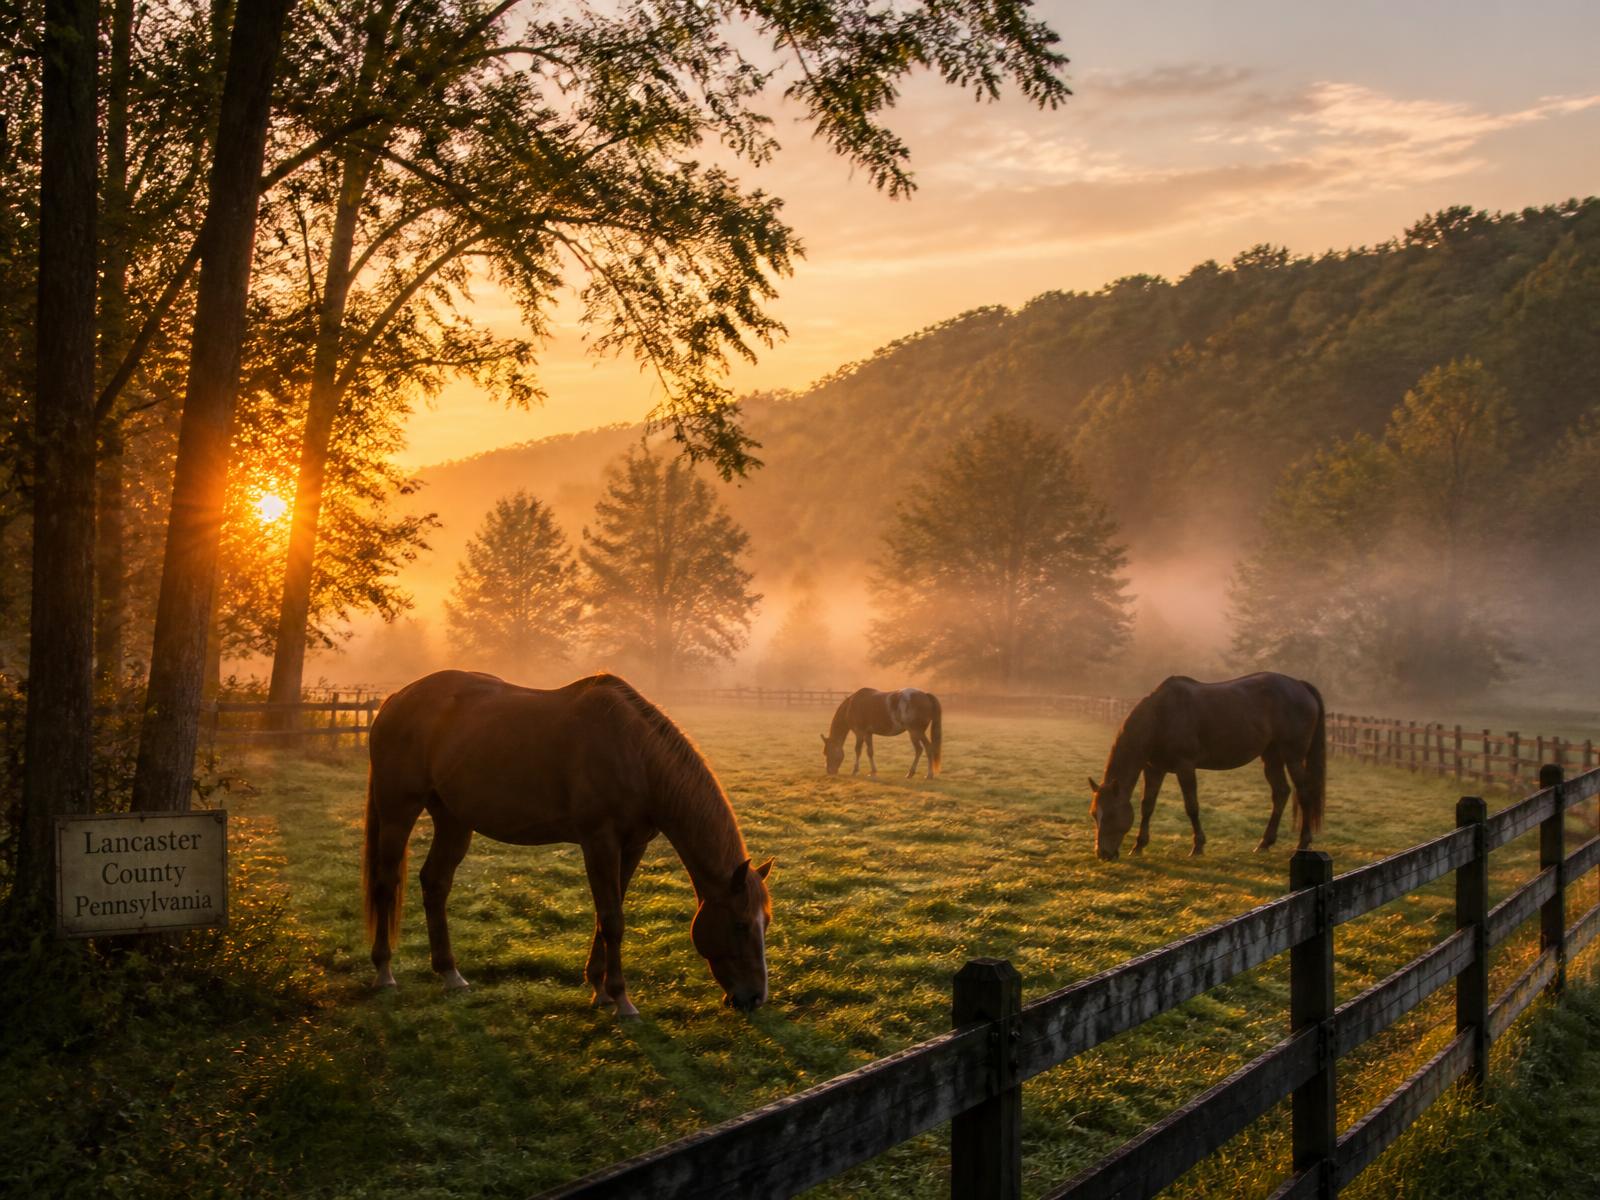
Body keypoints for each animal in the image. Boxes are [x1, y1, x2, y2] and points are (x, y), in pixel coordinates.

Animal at [364, 670, 774, 1015]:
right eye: (740, 924)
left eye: (765, 922)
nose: (754, 997)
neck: (636, 754)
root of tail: (395, 700)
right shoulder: (599, 842)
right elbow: (612, 920)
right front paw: (621, 999)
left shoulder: (632, 846)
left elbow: (608, 914)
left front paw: (600, 988)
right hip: (399, 810)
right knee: (386, 883)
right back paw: (384, 972)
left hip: (453, 820)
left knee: (435, 883)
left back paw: (450, 974)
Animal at [1087, 673, 1325, 861]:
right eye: (1094, 814)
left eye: (1110, 815)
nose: (1103, 854)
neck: (1160, 717)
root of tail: (1300, 685)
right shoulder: (1154, 769)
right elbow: (1148, 805)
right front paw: (1139, 846)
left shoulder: (1185, 767)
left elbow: (1191, 806)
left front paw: (1198, 847)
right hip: (1271, 756)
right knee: (1281, 793)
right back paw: (1264, 843)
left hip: (1293, 757)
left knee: (1304, 793)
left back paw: (1303, 843)